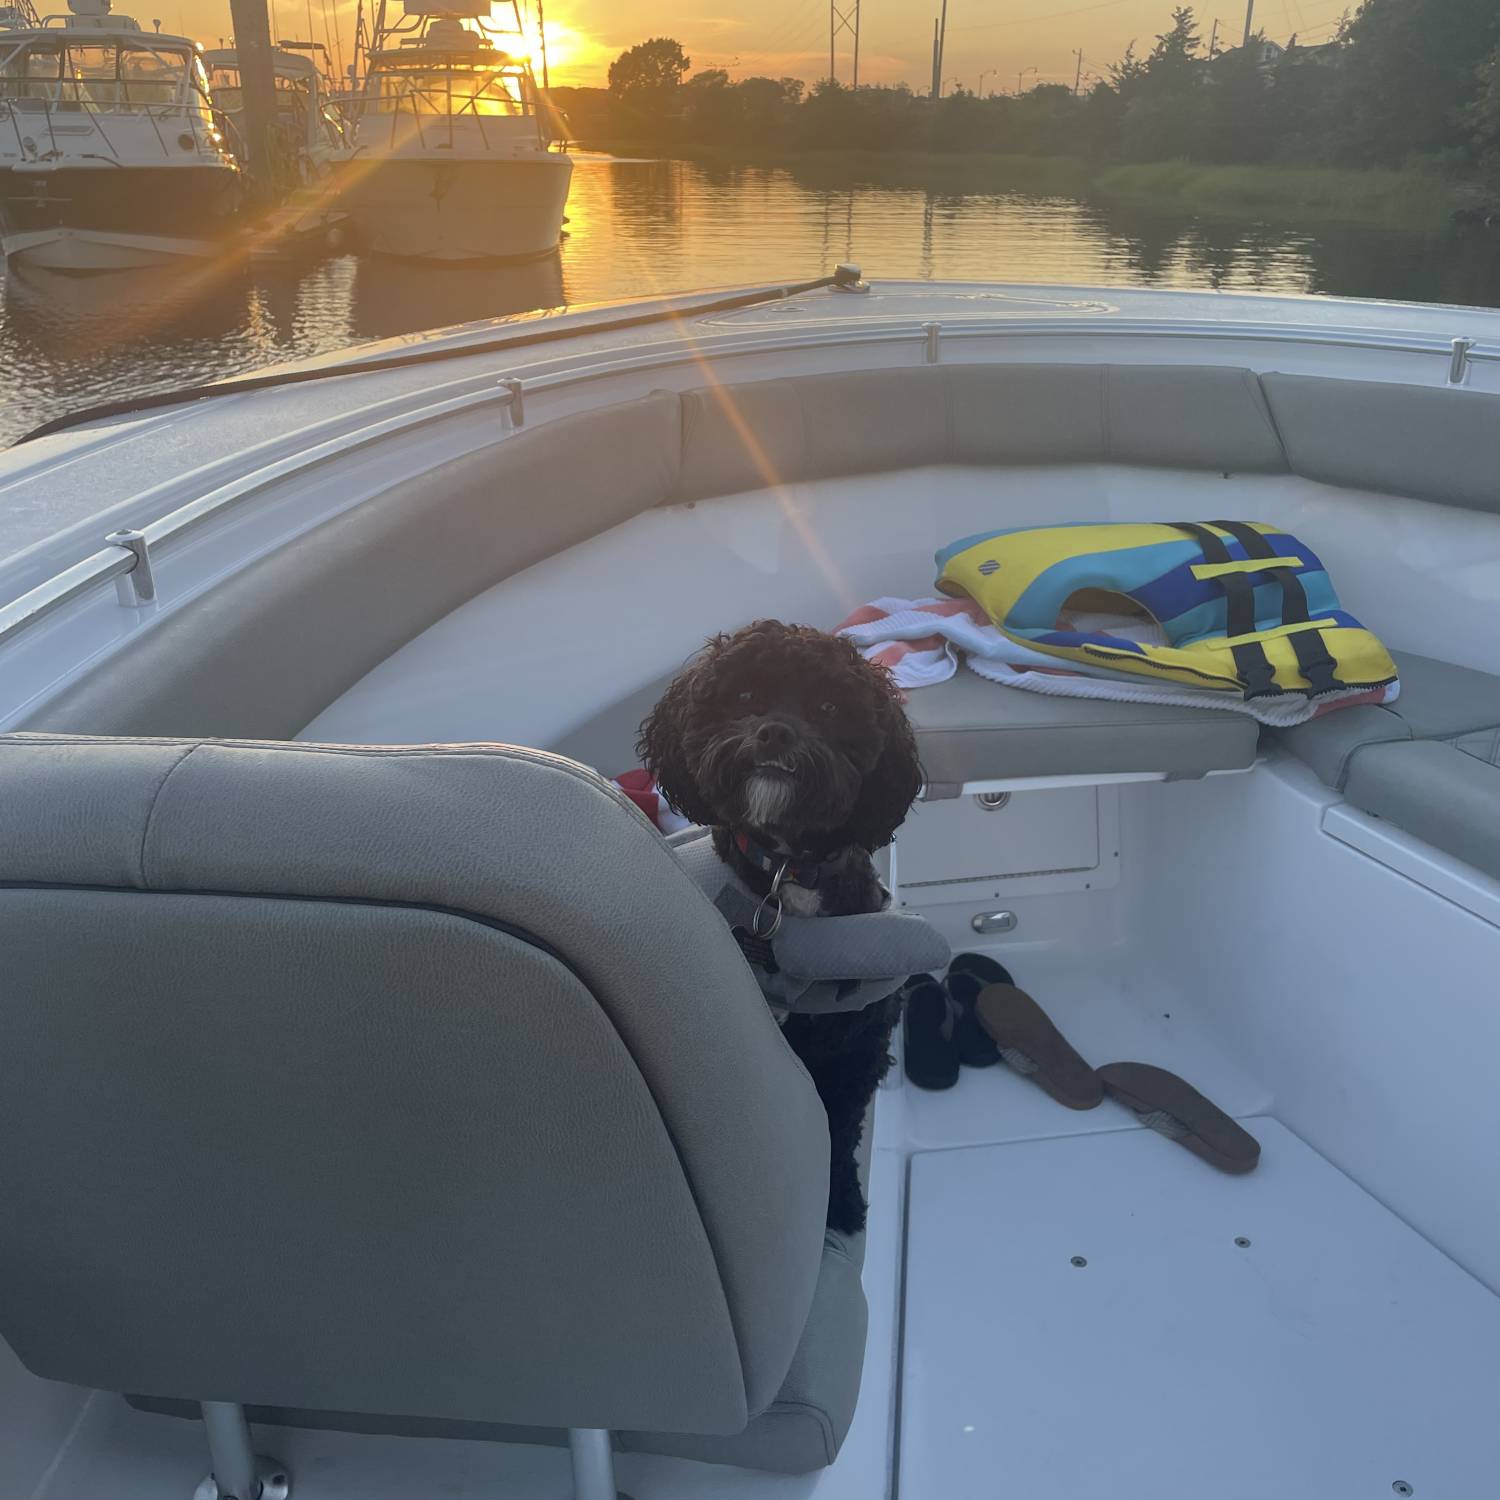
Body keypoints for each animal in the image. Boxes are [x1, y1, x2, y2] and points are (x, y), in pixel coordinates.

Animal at [636, 618, 924, 1230]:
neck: (788, 869)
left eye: (829, 707)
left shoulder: (856, 1050)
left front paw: (841, 1202)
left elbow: (839, 1128)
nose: (774, 733)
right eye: (744, 696)